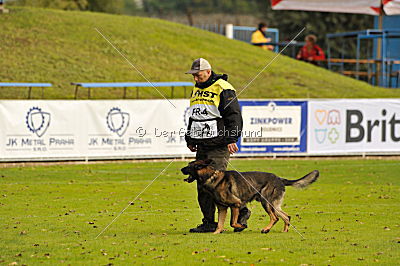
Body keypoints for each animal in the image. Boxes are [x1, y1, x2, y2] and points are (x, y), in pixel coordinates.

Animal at [183, 159, 320, 234]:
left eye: (189, 166)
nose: (181, 169)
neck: (211, 176)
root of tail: (280, 179)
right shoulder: (222, 208)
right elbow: (220, 224)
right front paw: (216, 233)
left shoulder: (236, 204)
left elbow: (233, 222)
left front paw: (242, 226)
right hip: (274, 205)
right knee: (286, 216)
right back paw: (284, 230)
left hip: (266, 202)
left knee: (275, 218)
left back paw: (266, 229)